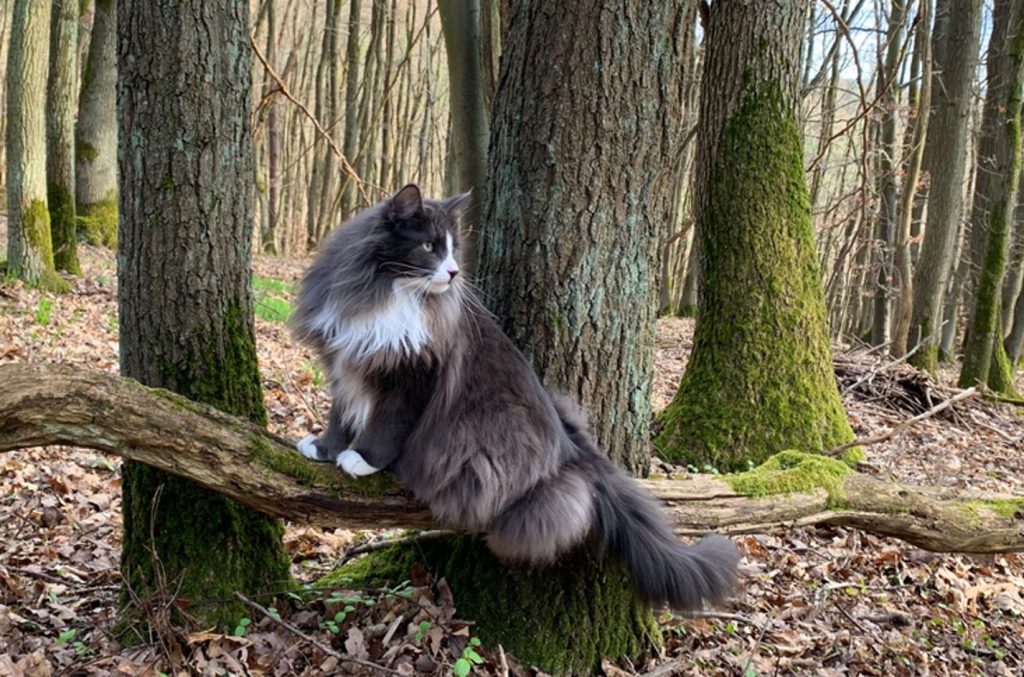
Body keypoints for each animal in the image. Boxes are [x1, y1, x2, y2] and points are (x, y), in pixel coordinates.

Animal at [292, 182, 741, 610]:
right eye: (429, 247)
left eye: (454, 248)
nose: (453, 272)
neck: (388, 294)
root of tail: (571, 449)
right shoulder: (346, 364)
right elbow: (340, 416)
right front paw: (325, 448)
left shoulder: (413, 378)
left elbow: (387, 426)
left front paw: (362, 459)